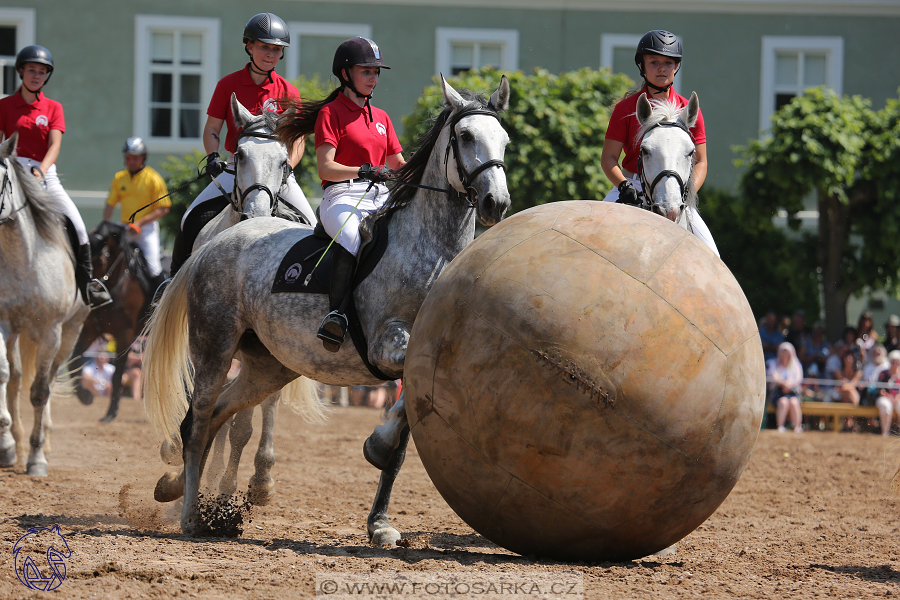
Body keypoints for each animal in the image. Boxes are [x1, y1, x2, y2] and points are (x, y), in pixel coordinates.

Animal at [0, 134, 89, 476]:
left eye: (3, 179)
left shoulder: (51, 332)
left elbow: (40, 392)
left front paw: (37, 459)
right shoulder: (3, 323)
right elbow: (4, 376)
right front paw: (7, 445)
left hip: (69, 334)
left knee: (47, 380)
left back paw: (43, 444)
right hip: (19, 334)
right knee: (15, 380)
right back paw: (14, 441)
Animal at [71, 220, 155, 422]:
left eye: (104, 256)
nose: (92, 290)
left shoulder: (124, 335)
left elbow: (117, 374)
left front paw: (111, 413)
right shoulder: (91, 330)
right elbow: (74, 361)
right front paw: (85, 396)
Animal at [139, 75, 506, 540]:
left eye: (505, 140)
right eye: (466, 136)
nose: (497, 203)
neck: (429, 249)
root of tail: (217, 243)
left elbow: (400, 446)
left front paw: (379, 522)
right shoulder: (386, 344)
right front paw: (376, 445)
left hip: (269, 366)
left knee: (223, 415)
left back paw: (203, 504)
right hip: (214, 348)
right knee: (198, 420)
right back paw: (188, 513)